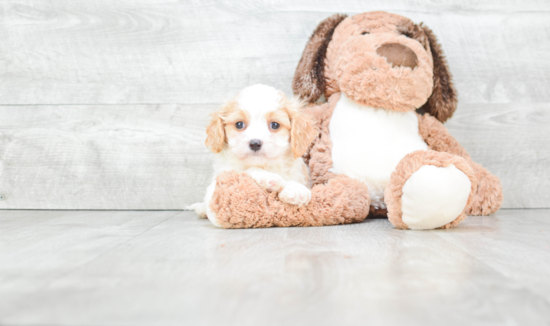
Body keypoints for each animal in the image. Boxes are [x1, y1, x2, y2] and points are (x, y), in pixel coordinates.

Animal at [190, 84, 320, 227]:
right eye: (239, 124)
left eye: (275, 125)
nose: (255, 143)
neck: (265, 164)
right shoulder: (226, 171)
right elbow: (248, 170)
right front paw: (268, 178)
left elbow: (292, 179)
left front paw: (295, 189)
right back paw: (202, 208)